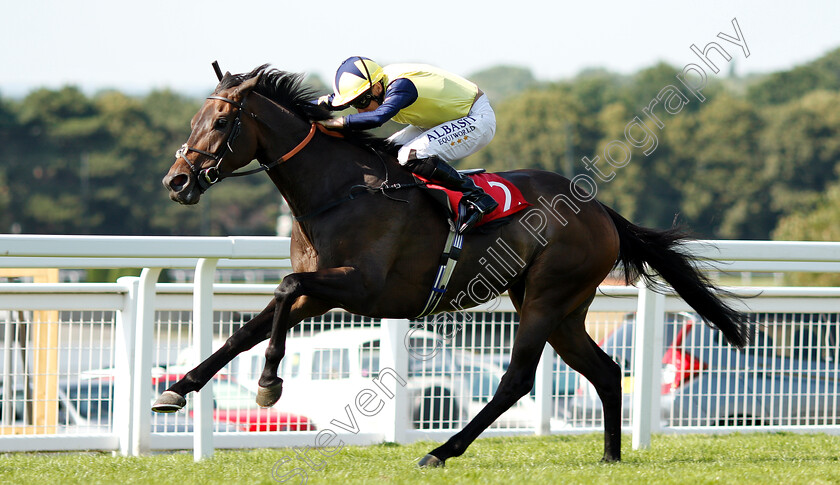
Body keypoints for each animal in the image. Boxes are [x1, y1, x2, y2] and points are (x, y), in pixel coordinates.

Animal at [156, 65, 748, 466]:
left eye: (222, 120)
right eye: (196, 116)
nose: (177, 181)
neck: (339, 191)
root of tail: (599, 208)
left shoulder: (359, 287)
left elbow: (281, 288)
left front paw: (268, 383)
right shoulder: (323, 291)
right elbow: (248, 328)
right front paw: (177, 388)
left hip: (547, 297)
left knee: (516, 379)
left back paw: (442, 450)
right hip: (563, 308)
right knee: (602, 370)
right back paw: (609, 456)